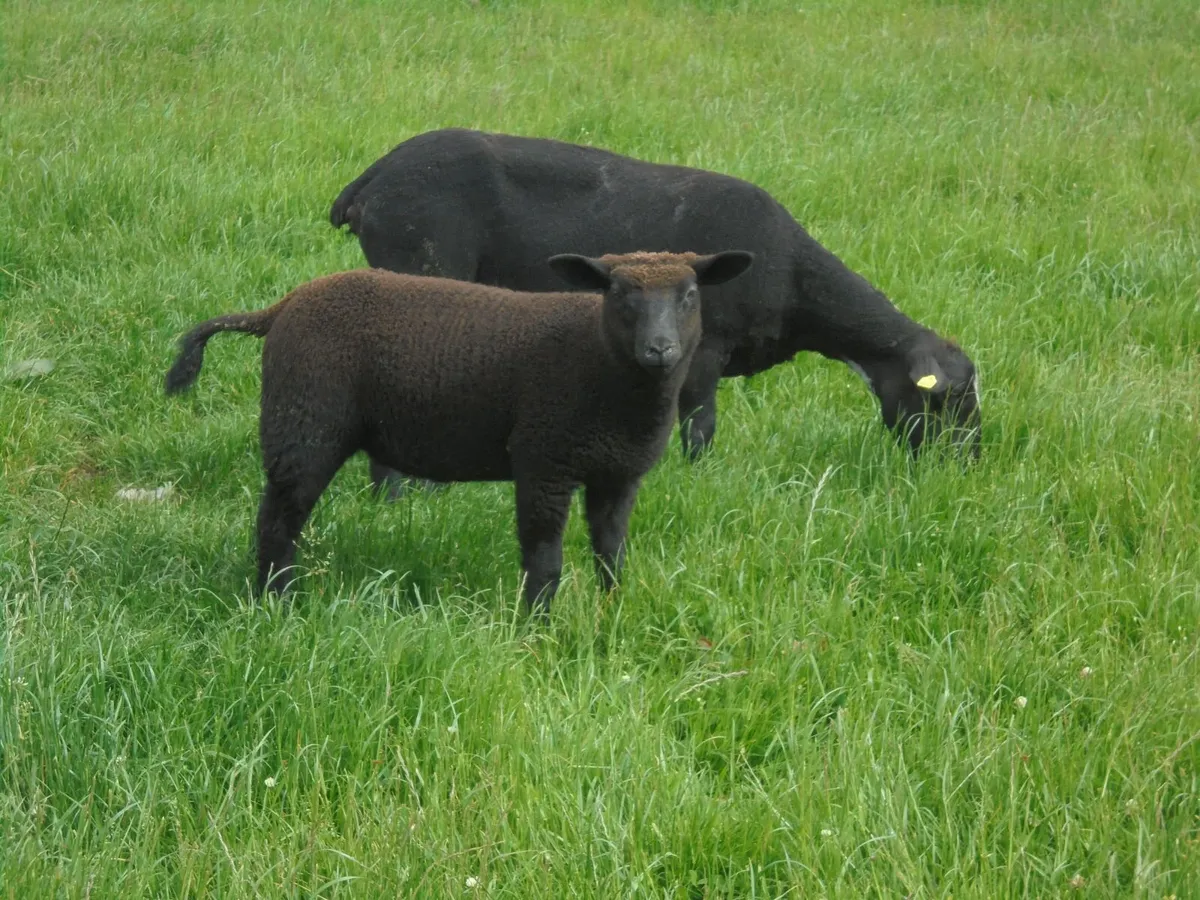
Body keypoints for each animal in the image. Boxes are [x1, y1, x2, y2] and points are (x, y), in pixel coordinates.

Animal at [165, 250, 754, 612]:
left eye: (690, 295)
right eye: (620, 295)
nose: (660, 350)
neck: (601, 366)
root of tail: (282, 306)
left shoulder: (618, 475)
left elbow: (611, 553)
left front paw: (611, 611)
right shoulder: (543, 459)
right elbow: (544, 560)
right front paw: (536, 628)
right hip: (305, 423)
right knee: (276, 523)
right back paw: (278, 602)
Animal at [330, 127, 981, 492]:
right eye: (946, 401)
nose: (968, 471)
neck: (798, 284)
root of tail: (371, 181)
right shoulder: (705, 347)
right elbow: (699, 425)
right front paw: (693, 483)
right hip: (418, 261)